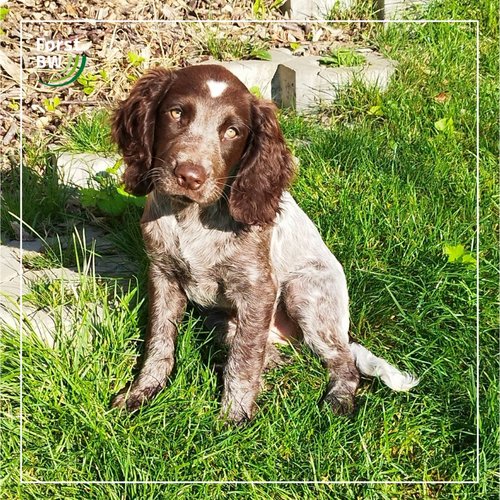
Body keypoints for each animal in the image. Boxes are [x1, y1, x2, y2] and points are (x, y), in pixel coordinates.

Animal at [110, 62, 418, 422]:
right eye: (176, 113)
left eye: (232, 131)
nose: (189, 176)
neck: (189, 217)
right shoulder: (163, 275)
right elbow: (159, 342)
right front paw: (142, 392)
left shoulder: (257, 288)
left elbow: (244, 361)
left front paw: (233, 418)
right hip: (222, 321)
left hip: (306, 294)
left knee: (342, 360)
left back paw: (338, 400)